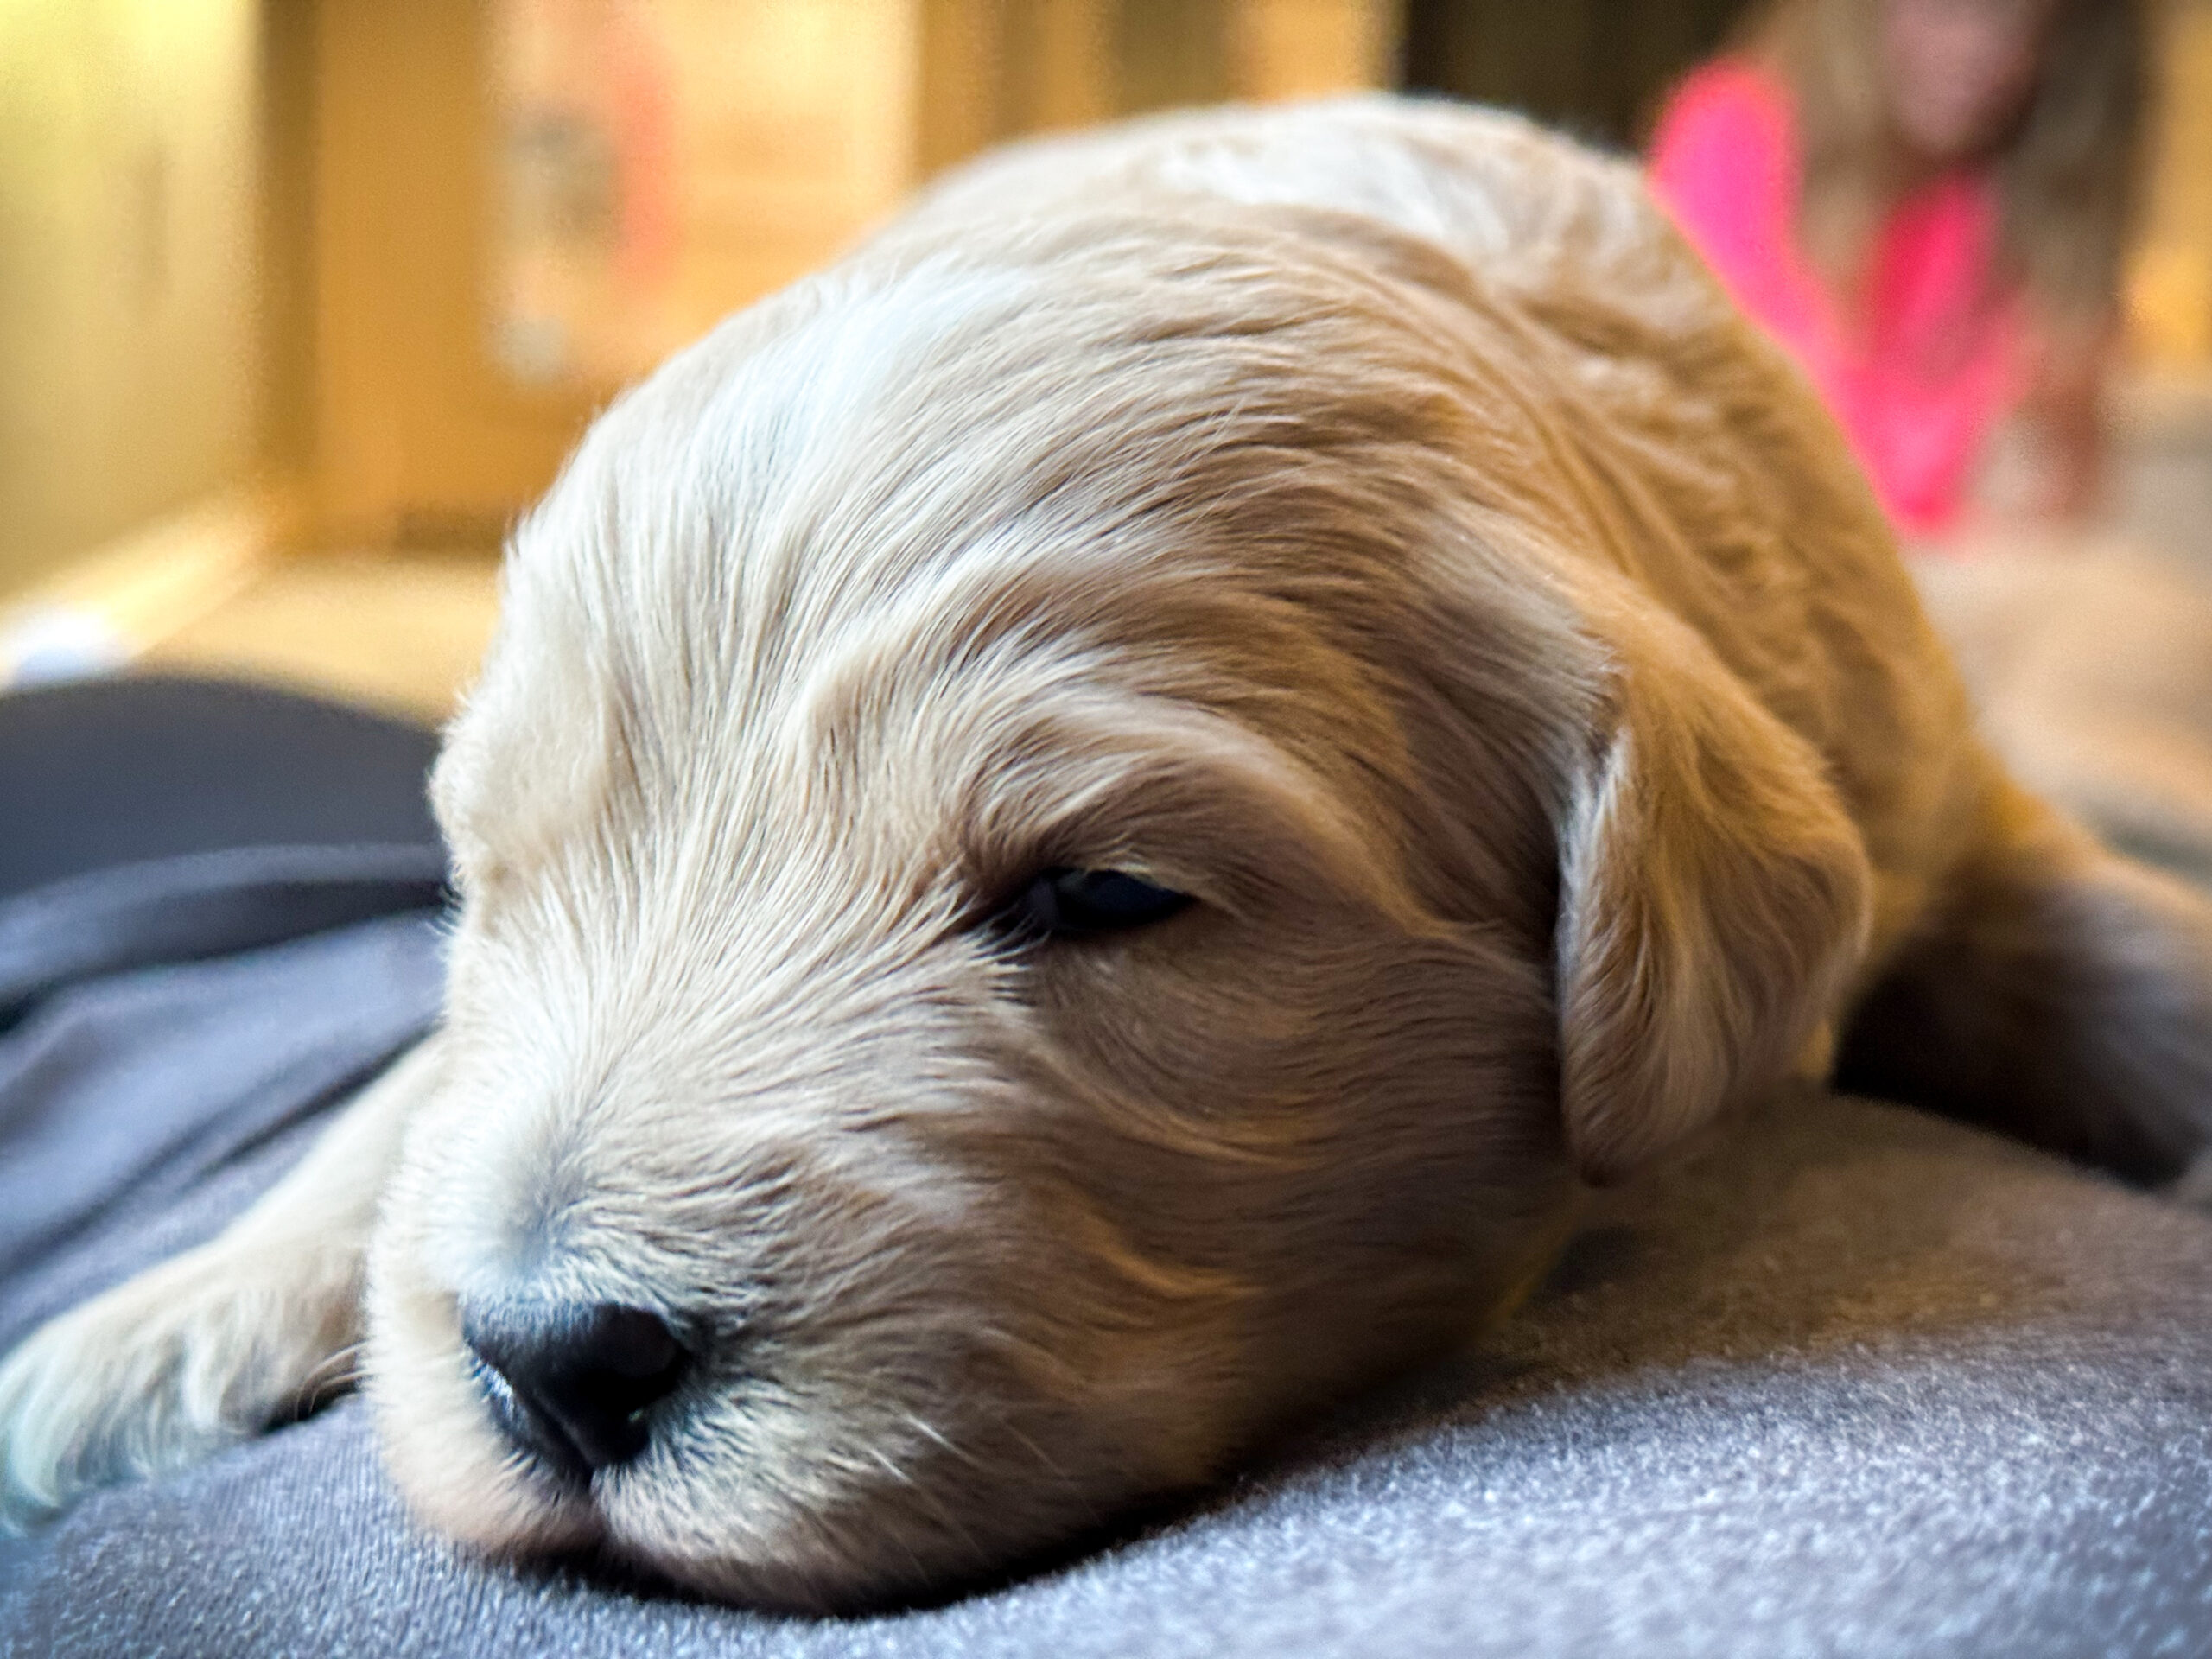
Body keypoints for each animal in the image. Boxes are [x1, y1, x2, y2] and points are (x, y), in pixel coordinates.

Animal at [13, 100, 2212, 1610]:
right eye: (491, 885)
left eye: (1100, 896)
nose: (560, 1361)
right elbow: (410, 1095)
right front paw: (155, 1323)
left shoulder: (1920, 775)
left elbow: (2106, 949)